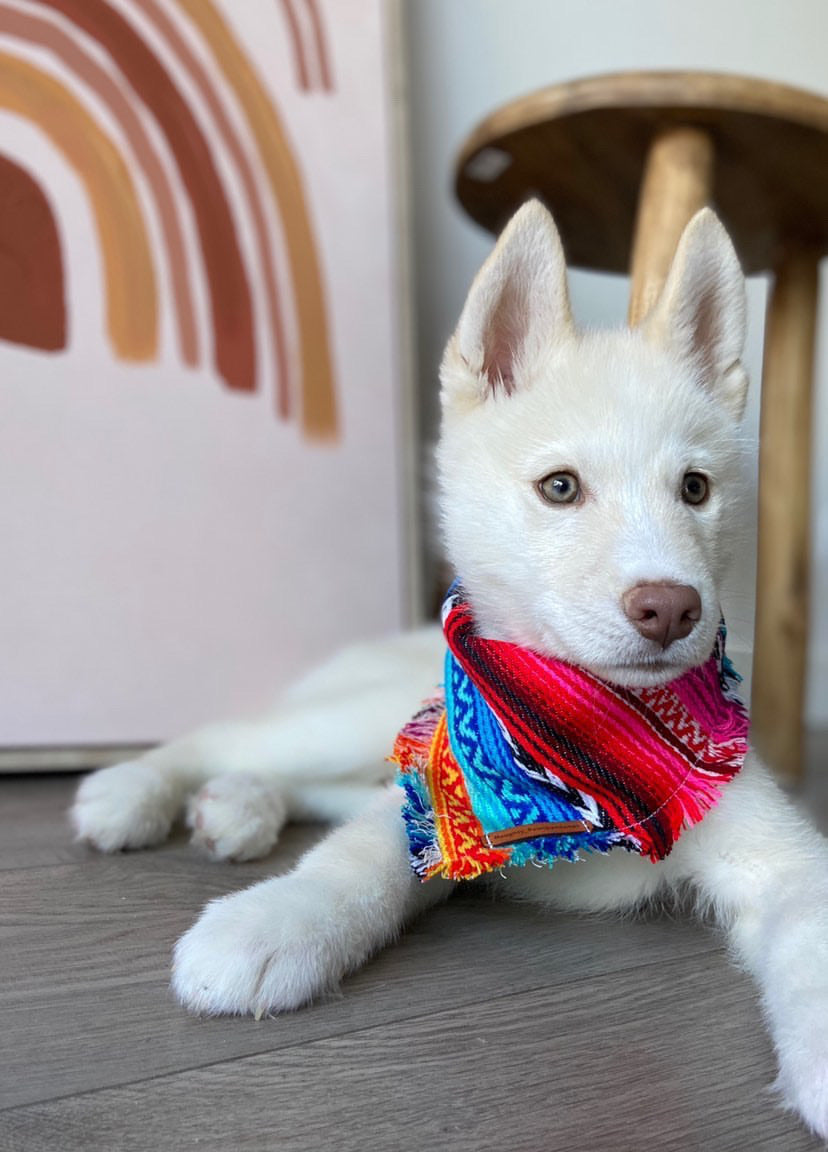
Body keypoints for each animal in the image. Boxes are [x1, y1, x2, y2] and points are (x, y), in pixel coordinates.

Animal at [72, 202, 828, 1138]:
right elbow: (358, 857)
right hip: (362, 719)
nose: (671, 608)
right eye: (561, 487)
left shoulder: (773, 845)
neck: (583, 751)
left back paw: (238, 808)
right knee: (236, 734)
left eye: (696, 488)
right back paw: (138, 790)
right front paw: (277, 920)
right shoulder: (439, 797)